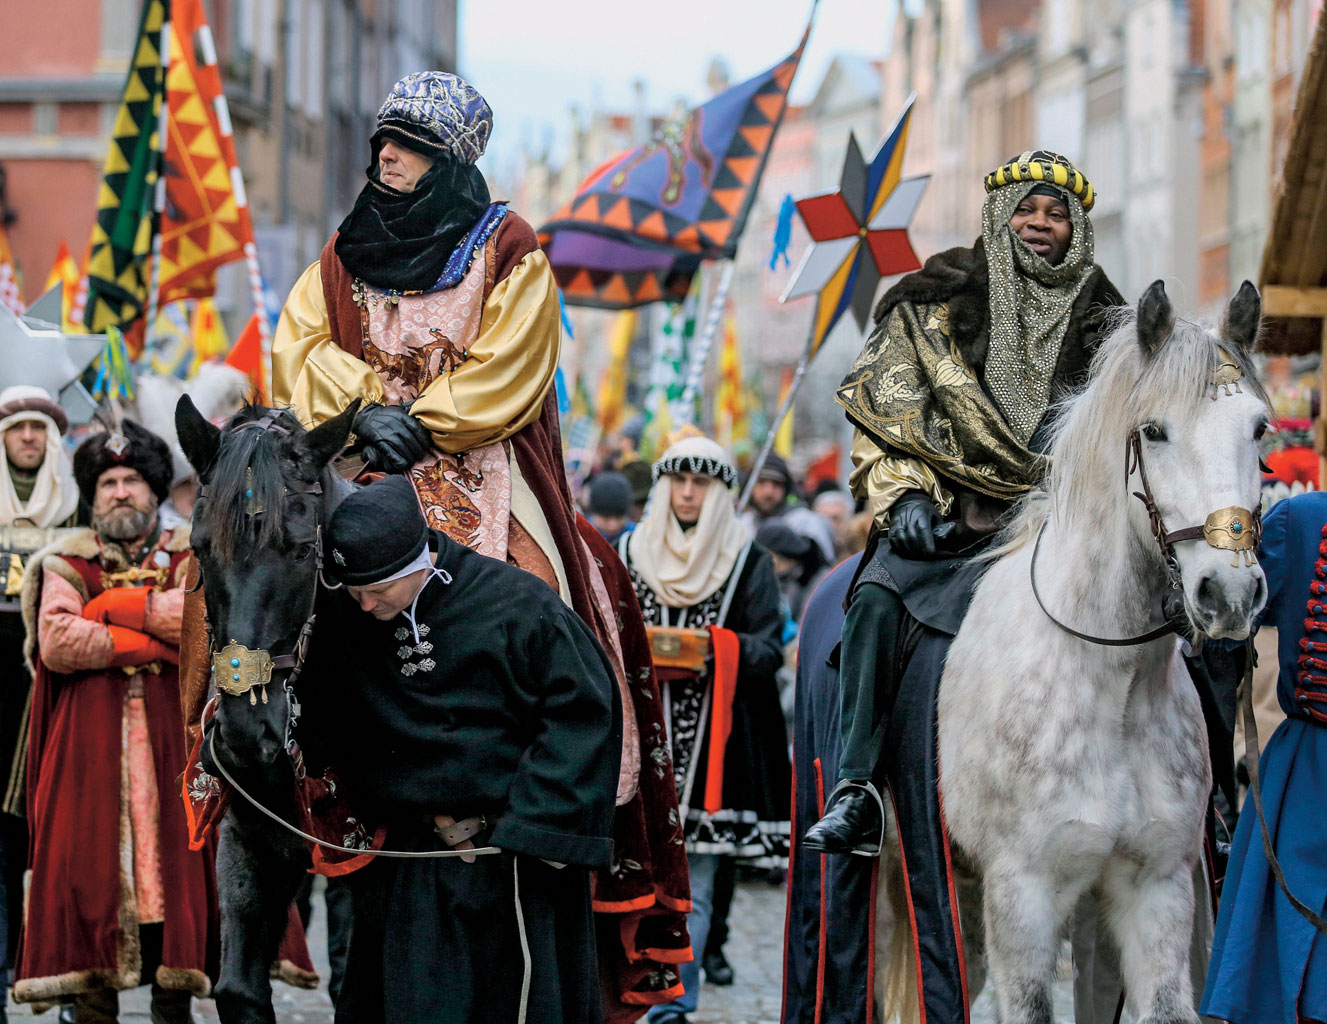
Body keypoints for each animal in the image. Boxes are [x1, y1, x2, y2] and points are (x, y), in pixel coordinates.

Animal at [875, 279, 1268, 1024]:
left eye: (1259, 429)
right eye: (1153, 431)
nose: (1229, 592)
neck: (1108, 680)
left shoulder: (1157, 885)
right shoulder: (1019, 893)